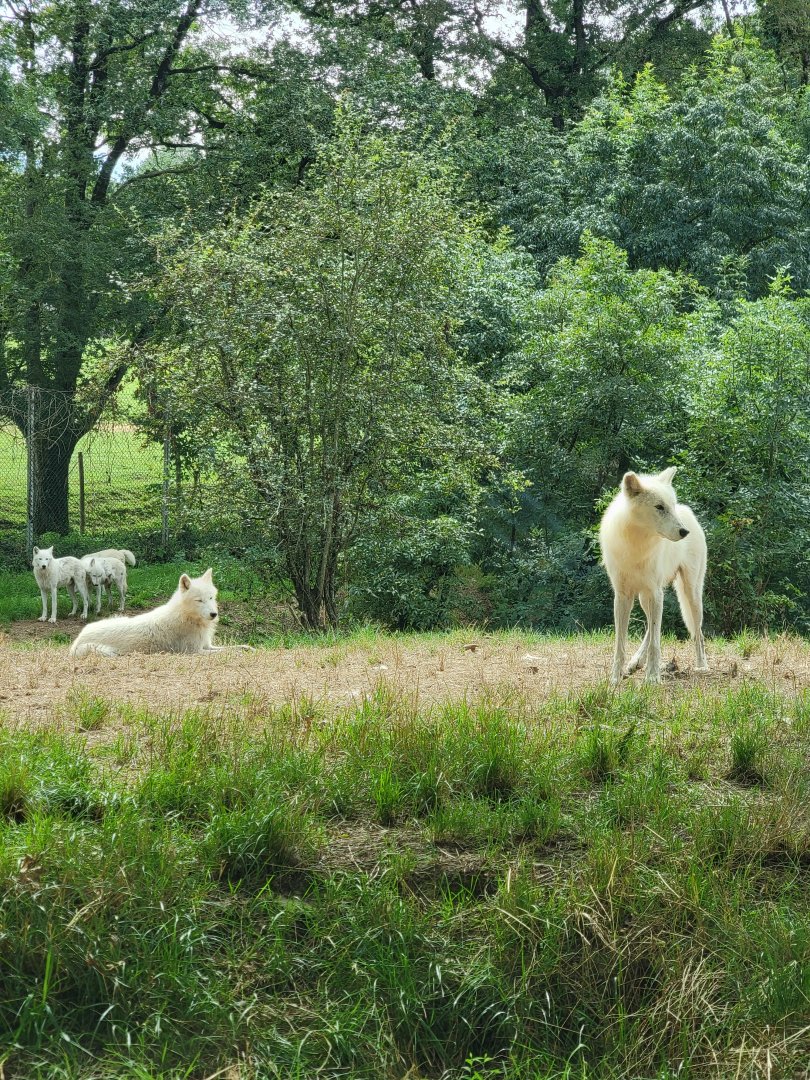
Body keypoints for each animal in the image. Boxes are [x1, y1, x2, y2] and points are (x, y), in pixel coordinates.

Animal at [70, 568, 250, 658]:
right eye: (199, 600)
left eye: (211, 598)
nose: (214, 614)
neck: (186, 617)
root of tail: (77, 640)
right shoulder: (196, 652)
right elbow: (229, 652)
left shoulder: (207, 645)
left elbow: (235, 647)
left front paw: (248, 648)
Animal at [599, 467, 708, 685]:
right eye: (659, 507)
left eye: (671, 507)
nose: (684, 532)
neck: (637, 545)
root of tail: (688, 512)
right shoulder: (623, 596)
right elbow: (620, 644)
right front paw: (615, 678)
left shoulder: (655, 592)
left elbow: (655, 645)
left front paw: (652, 678)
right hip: (644, 598)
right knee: (652, 627)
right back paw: (634, 663)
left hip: (690, 594)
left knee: (698, 633)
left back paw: (702, 666)